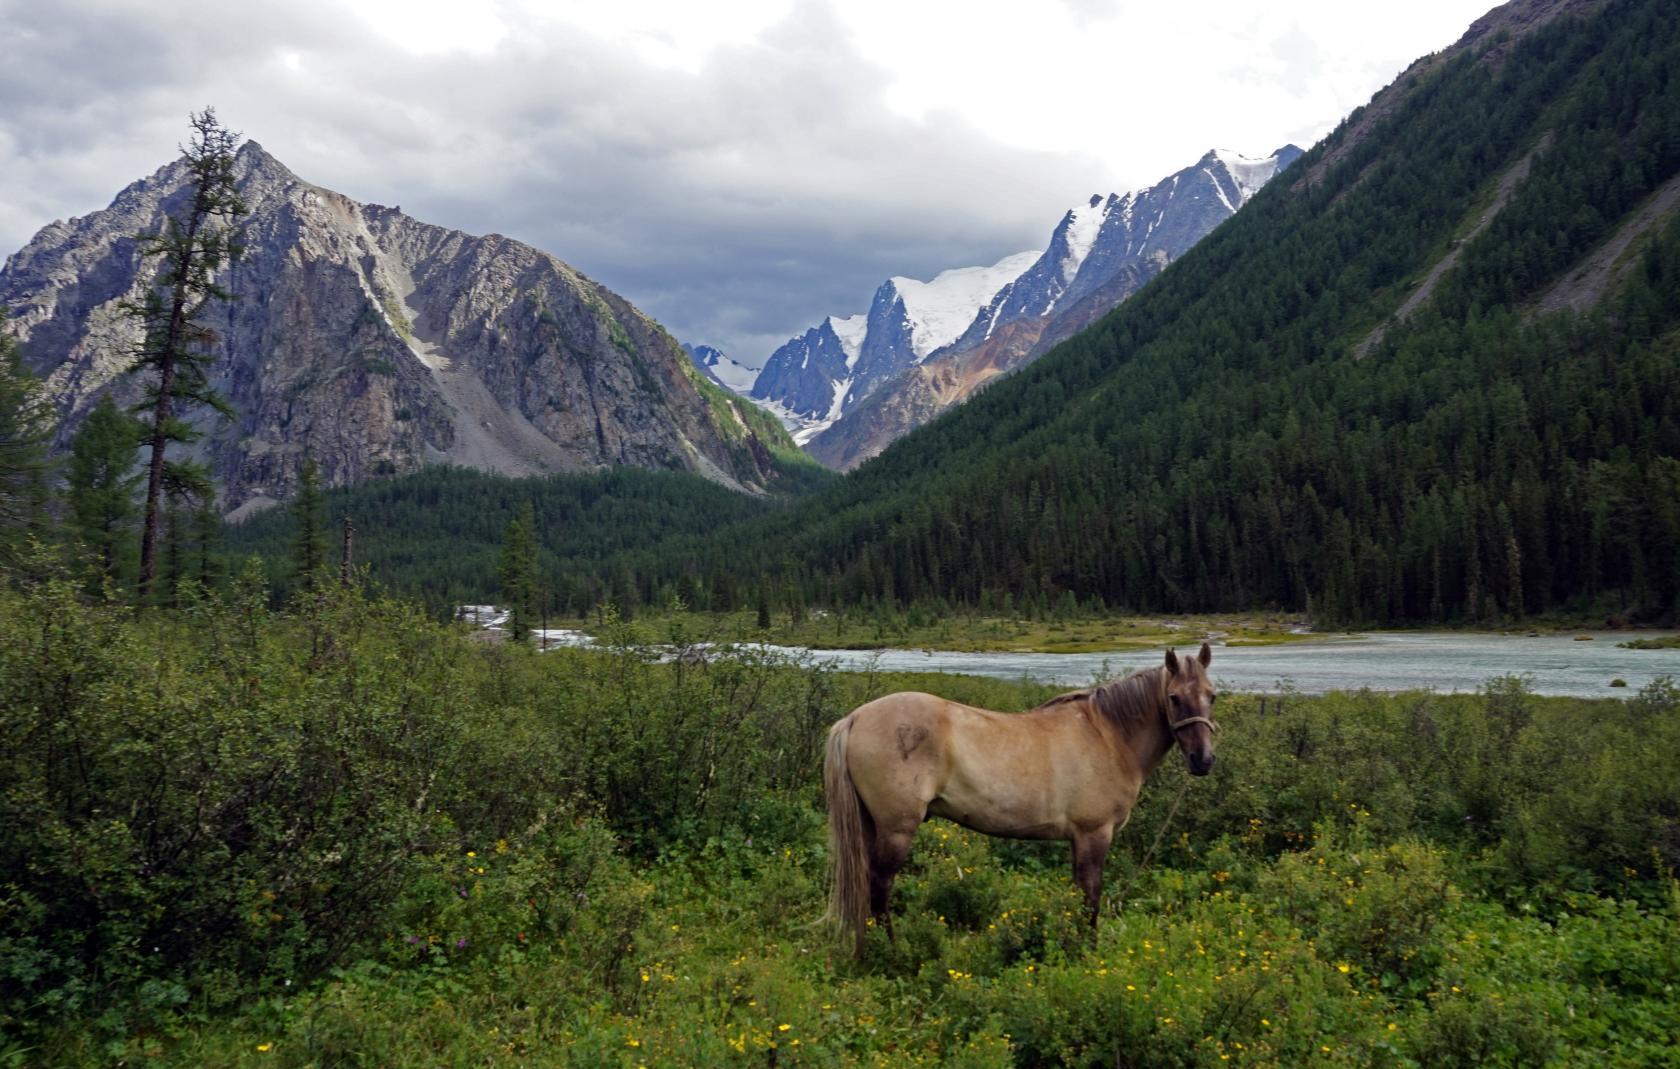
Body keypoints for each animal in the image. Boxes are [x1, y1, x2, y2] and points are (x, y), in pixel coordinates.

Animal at [819, 642, 1216, 954]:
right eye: (1174, 698)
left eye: (1212, 695)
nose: (1204, 760)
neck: (1107, 736)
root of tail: (855, 719)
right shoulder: (1094, 834)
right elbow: (1091, 897)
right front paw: (1088, 952)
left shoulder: (1078, 839)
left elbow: (1079, 894)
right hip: (897, 830)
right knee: (879, 887)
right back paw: (892, 951)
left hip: (870, 825)